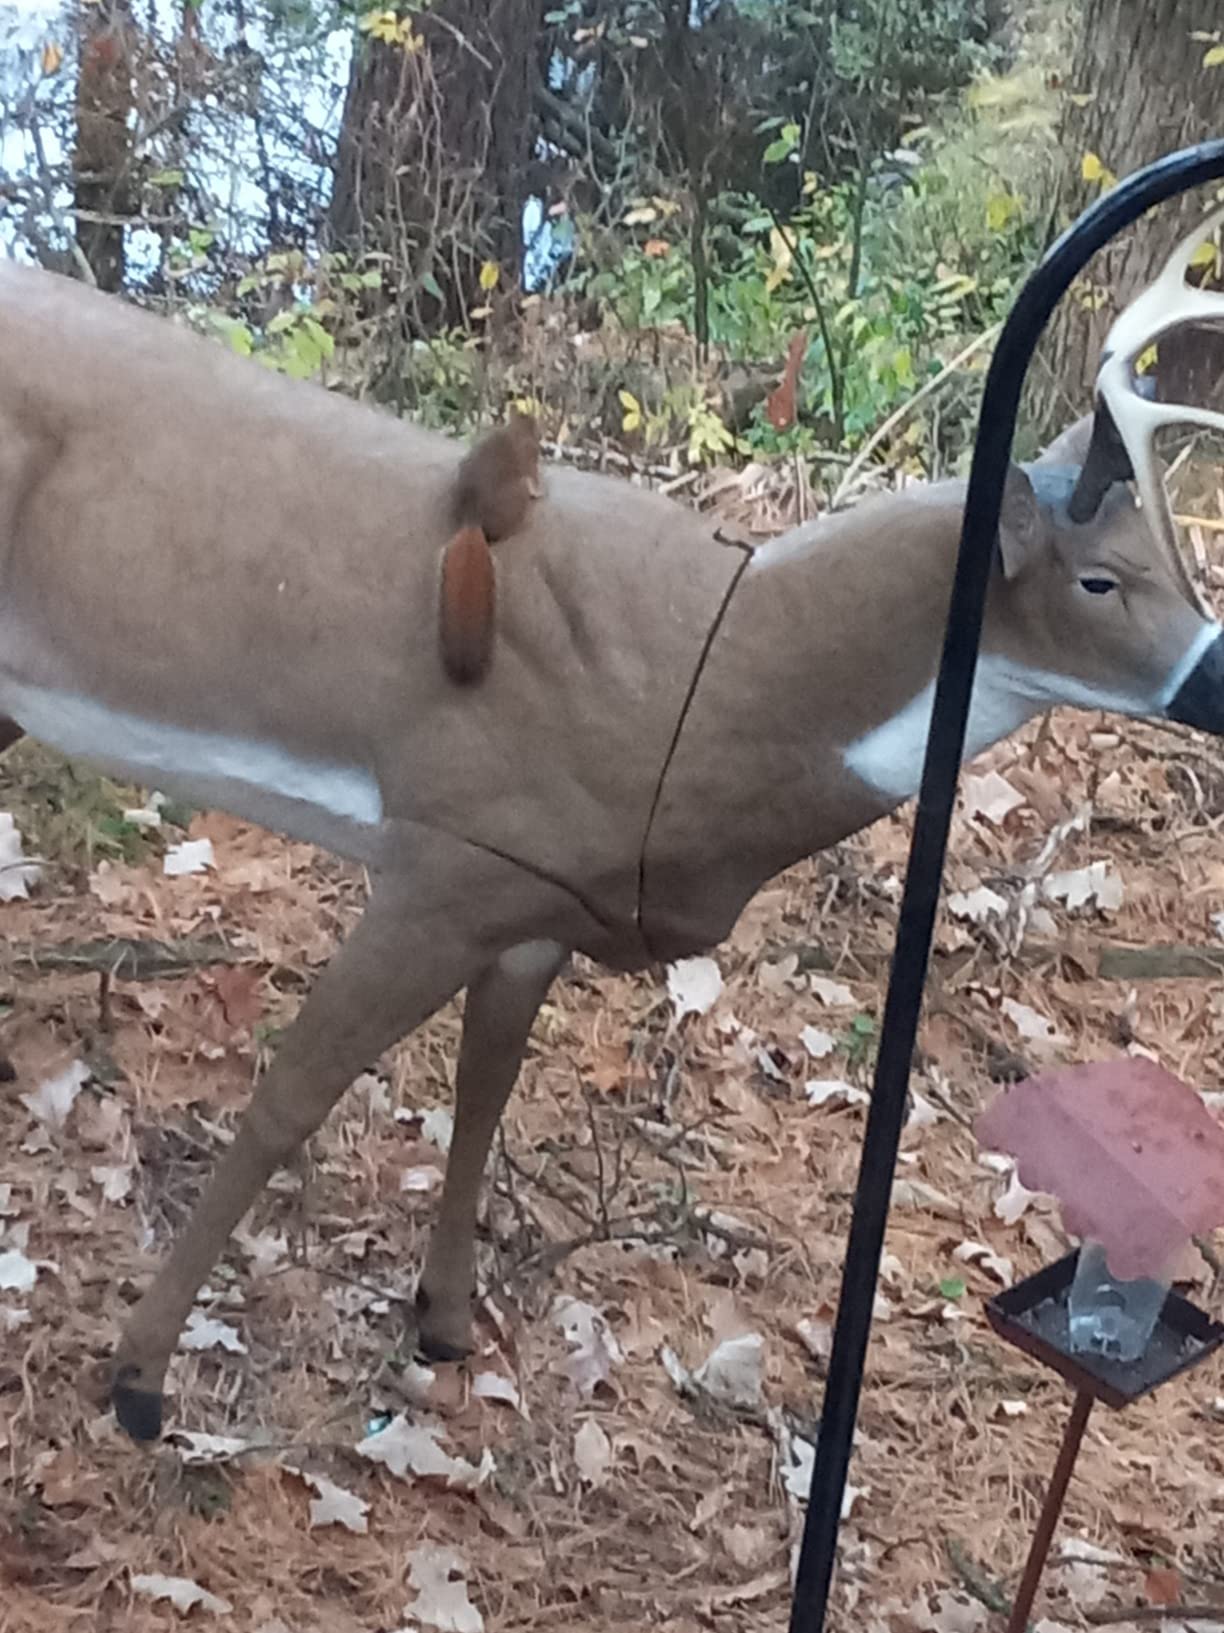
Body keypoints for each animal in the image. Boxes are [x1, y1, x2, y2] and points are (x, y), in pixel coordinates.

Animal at [4, 205, 1224, 1445]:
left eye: (1181, 558)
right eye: (1100, 580)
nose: (1219, 680)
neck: (716, 686)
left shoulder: (540, 897)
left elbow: (485, 1088)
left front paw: (445, 1323)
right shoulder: (450, 854)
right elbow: (289, 1096)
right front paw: (140, 1378)